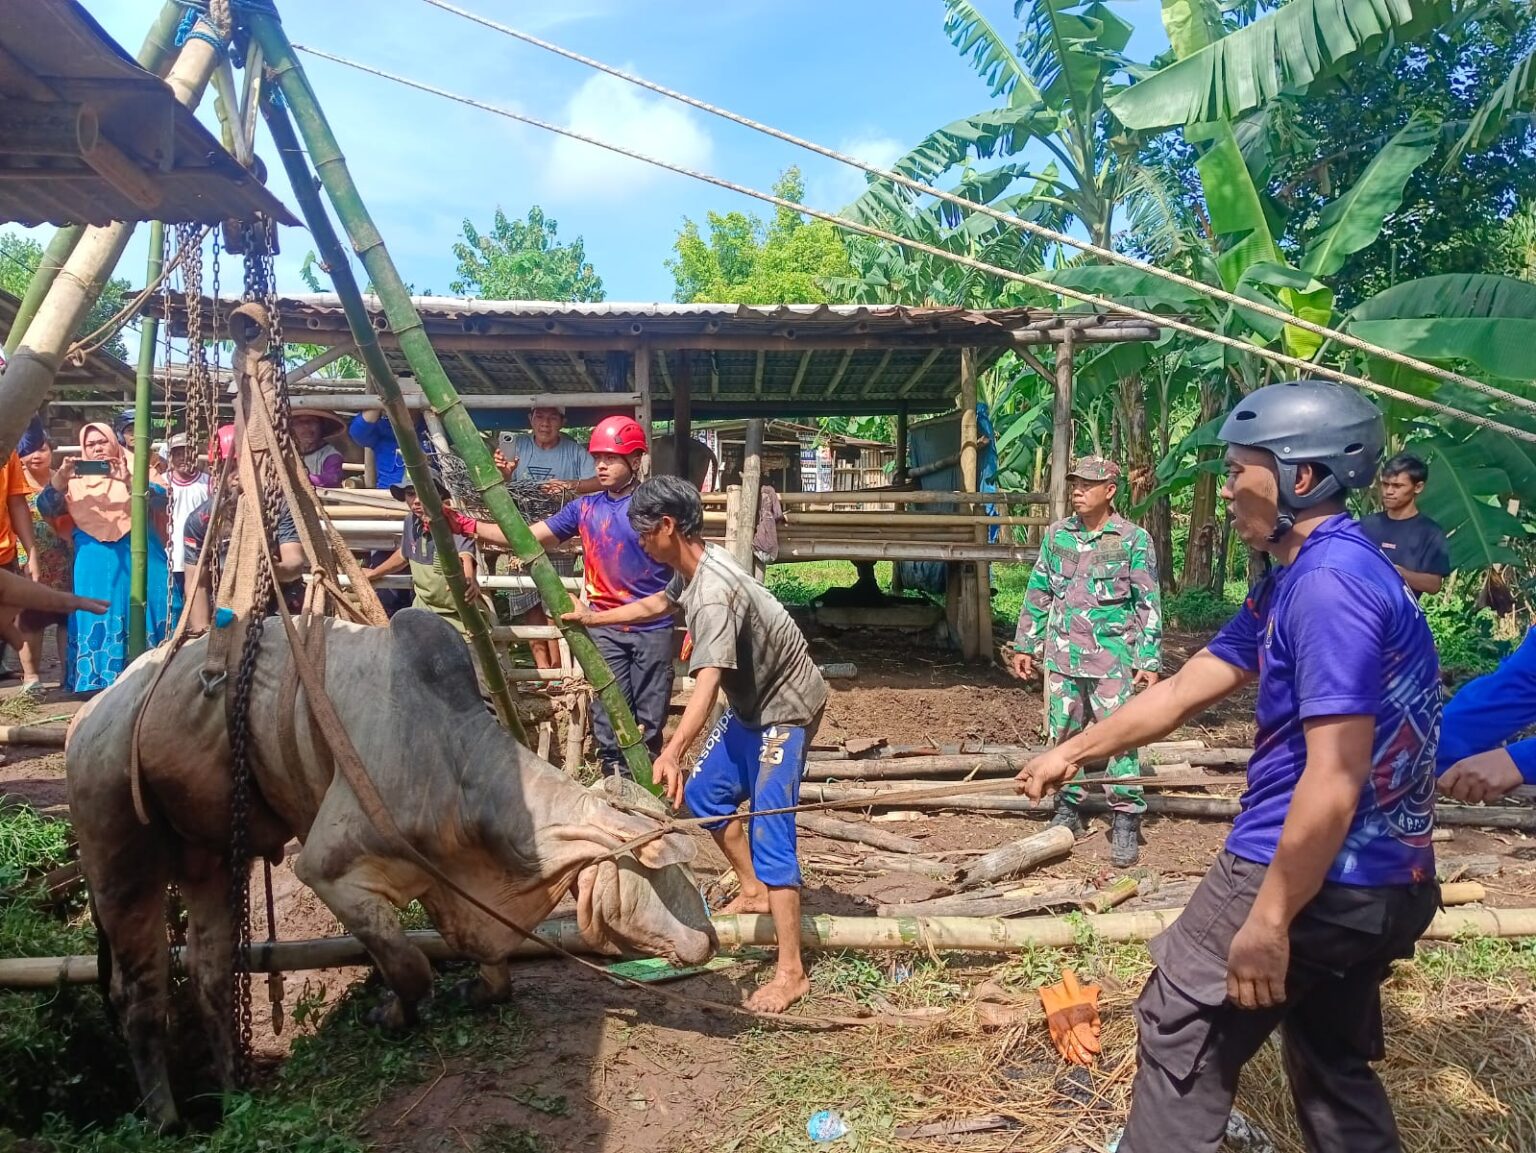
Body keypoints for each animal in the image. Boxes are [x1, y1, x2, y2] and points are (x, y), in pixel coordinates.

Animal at [67, 607, 718, 1129]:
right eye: (667, 872)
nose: (710, 940)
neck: (455, 765)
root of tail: (94, 711)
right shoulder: (329, 870)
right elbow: (409, 966)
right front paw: (391, 1015)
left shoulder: (447, 885)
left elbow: (485, 961)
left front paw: (476, 990)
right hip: (118, 853)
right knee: (140, 991)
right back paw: (166, 1118)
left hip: (207, 861)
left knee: (208, 972)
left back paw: (231, 1094)